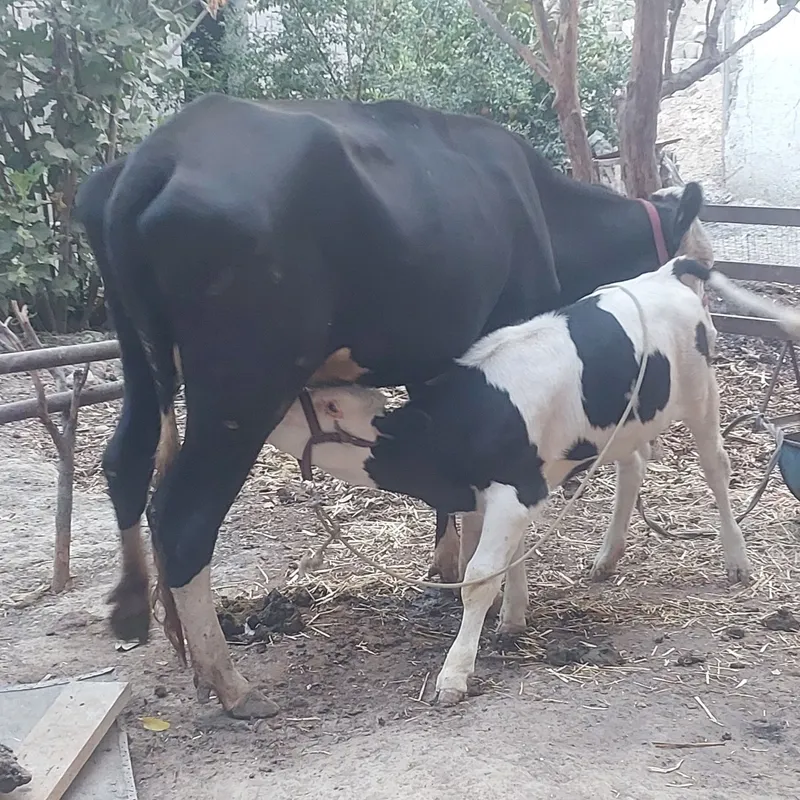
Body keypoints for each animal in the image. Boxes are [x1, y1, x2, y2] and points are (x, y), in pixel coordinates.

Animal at [75, 92, 712, 719]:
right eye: (702, 259)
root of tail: (156, 156)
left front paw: (447, 568)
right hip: (242, 389)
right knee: (183, 519)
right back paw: (230, 683)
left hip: (139, 359)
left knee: (124, 462)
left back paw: (134, 613)